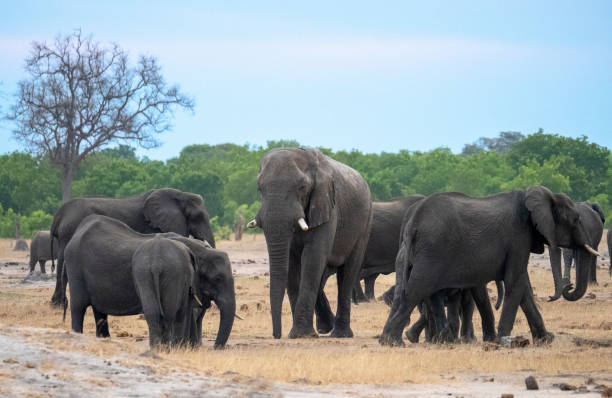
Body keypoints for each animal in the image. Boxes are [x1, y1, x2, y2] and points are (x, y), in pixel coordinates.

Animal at [50, 188, 218, 306]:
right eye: (198, 217)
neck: (181, 194)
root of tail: (60, 214)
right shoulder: (155, 225)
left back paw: (56, 303)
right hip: (70, 230)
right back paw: (60, 304)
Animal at [63, 215, 233, 348]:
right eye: (217, 278)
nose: (215, 348)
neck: (201, 250)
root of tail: (78, 231)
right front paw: (185, 347)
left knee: (100, 311)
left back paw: (105, 340)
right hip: (75, 268)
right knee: (78, 307)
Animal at [249, 148, 372, 338]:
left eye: (302, 187)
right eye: (259, 188)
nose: (277, 335)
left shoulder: (327, 207)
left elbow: (313, 258)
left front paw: (301, 335)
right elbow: (292, 264)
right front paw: (297, 334)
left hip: (364, 224)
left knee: (347, 273)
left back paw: (340, 334)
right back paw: (325, 328)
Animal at [380, 187, 600, 346]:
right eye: (576, 219)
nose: (568, 287)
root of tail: (413, 223)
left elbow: (521, 286)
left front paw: (546, 339)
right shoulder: (518, 236)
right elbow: (515, 282)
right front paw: (503, 340)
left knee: (419, 292)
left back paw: (407, 340)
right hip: (432, 250)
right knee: (417, 290)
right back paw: (395, 342)